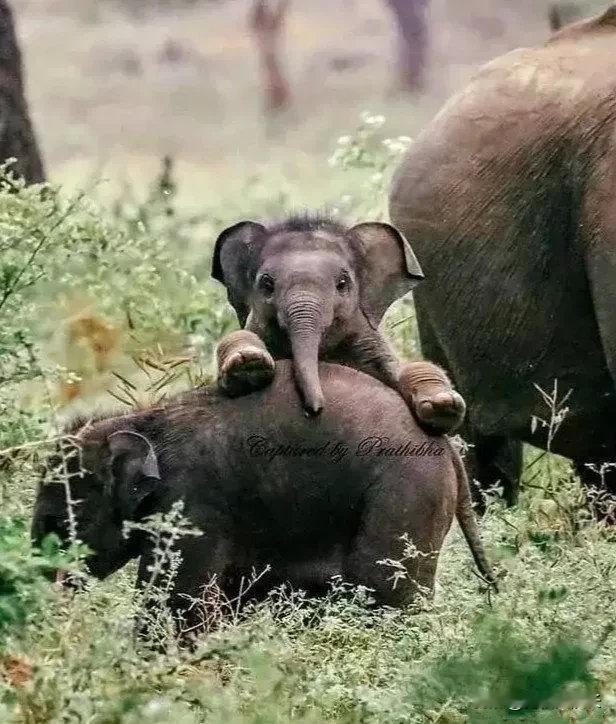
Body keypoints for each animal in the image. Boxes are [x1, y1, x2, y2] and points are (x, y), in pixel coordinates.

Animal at [32, 361, 495, 640]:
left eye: (58, 523)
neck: (144, 419)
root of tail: (447, 446)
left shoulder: (191, 504)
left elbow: (176, 599)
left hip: (405, 494)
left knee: (385, 593)